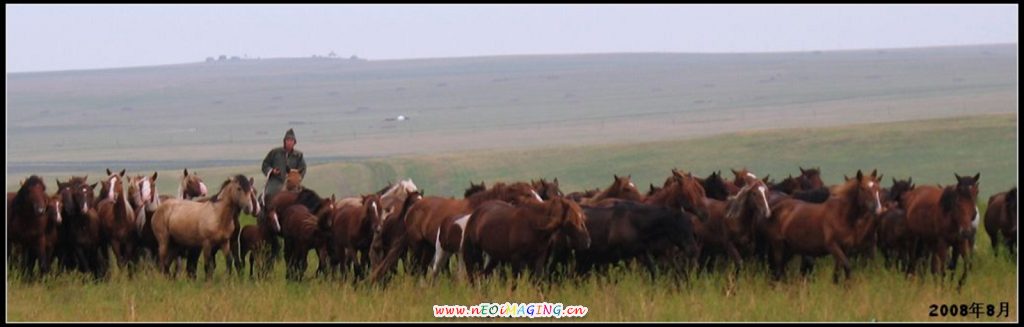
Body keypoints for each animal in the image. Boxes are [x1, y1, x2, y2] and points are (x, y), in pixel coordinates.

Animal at [460, 196, 589, 284]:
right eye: (571, 221)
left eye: (583, 218)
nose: (587, 242)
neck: (534, 226)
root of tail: (476, 212)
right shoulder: (517, 259)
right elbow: (516, 282)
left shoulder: (538, 258)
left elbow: (536, 280)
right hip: (474, 253)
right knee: (473, 276)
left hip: (495, 257)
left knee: (483, 275)